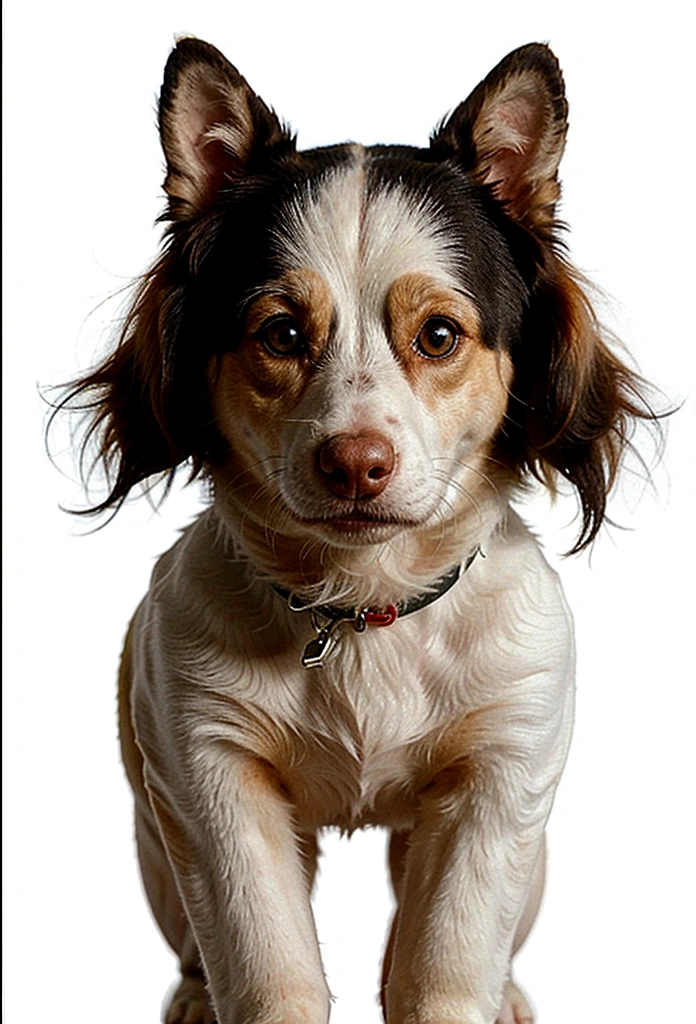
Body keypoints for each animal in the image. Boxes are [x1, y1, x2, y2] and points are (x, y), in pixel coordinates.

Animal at [63, 36, 650, 1019]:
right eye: (282, 333)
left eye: (439, 335)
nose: (355, 464)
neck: (364, 612)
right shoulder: (208, 776)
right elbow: (270, 977)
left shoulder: (500, 780)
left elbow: (442, 976)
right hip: (155, 833)